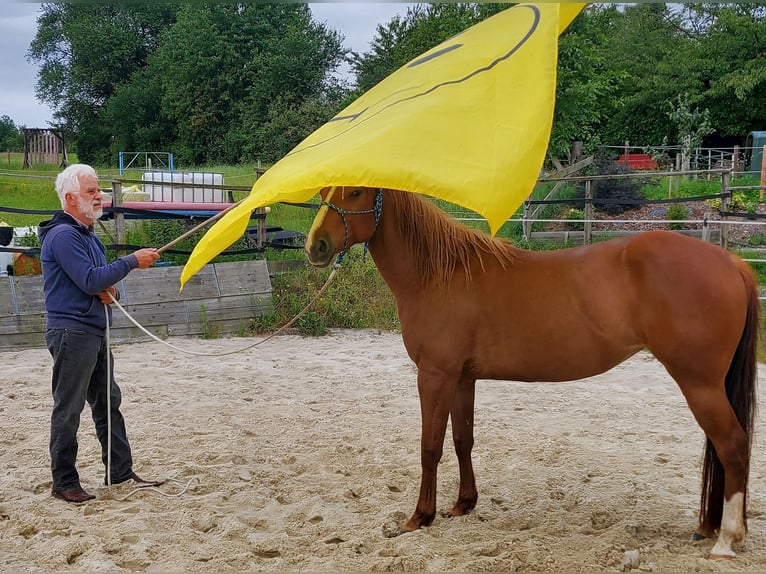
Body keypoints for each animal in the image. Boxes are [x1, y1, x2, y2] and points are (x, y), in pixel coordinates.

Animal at [304, 186, 758, 559]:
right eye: (325, 192)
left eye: (355, 193)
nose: (316, 246)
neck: (441, 274)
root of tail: (732, 262)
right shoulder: (462, 378)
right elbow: (463, 440)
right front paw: (463, 504)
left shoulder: (434, 375)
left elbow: (429, 446)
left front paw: (419, 517)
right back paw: (711, 529)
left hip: (699, 384)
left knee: (733, 444)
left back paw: (725, 540)